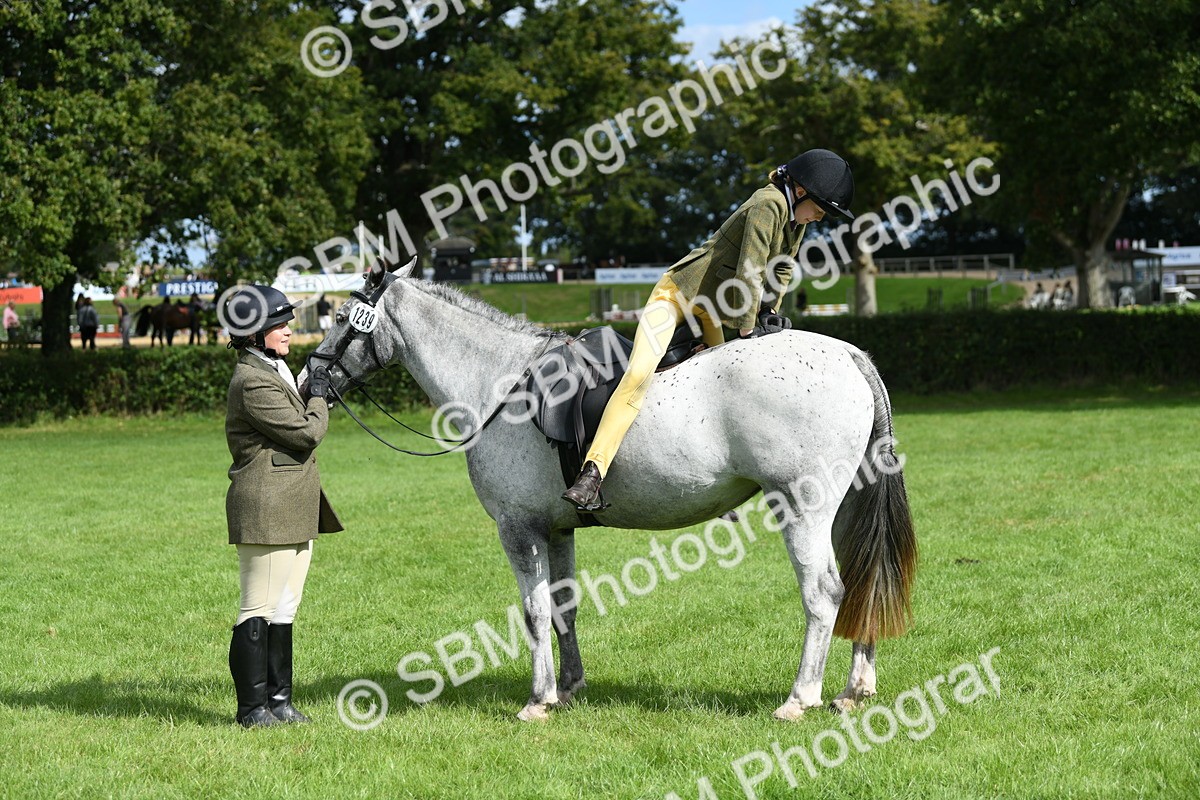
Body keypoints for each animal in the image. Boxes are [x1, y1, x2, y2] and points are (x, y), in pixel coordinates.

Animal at [308, 258, 917, 722]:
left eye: (337, 315)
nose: (310, 378)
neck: (501, 382)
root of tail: (847, 354)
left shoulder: (518, 529)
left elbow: (533, 612)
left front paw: (539, 699)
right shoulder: (556, 529)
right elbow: (563, 607)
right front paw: (571, 685)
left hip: (802, 509)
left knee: (824, 593)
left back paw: (800, 697)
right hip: (842, 506)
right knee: (862, 583)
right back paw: (854, 688)